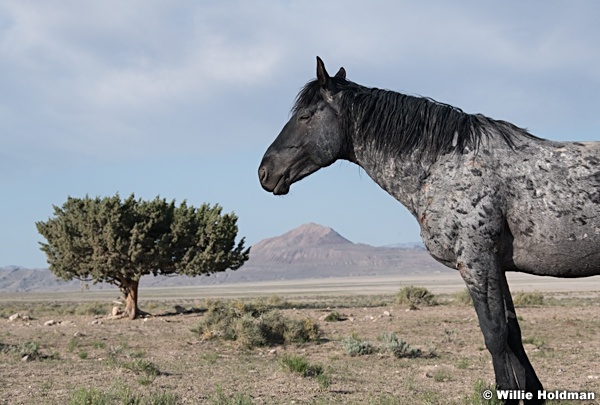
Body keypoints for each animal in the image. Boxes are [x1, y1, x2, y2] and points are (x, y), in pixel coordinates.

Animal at [258, 56, 600, 404]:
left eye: (305, 116)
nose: (264, 172)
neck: (445, 167)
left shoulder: (477, 263)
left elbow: (495, 336)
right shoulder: (496, 266)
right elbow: (513, 336)